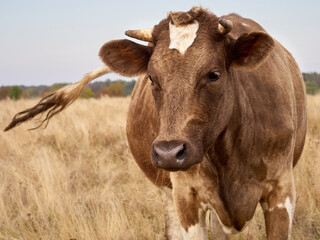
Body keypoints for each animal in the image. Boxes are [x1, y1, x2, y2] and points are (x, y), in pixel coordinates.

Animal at [3, 7, 306, 240]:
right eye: (151, 77)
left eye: (213, 74)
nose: (168, 152)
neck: (228, 152)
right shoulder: (186, 198)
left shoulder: (282, 192)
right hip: (168, 192)